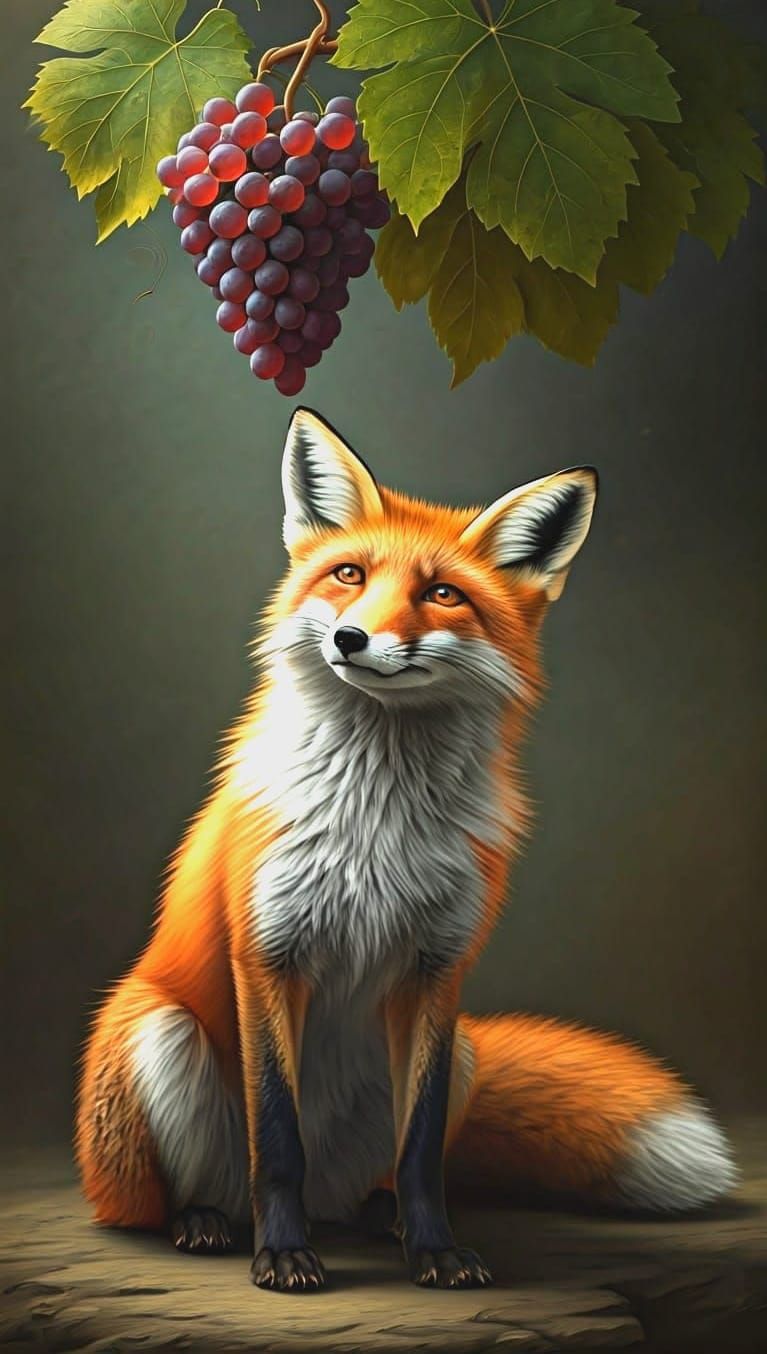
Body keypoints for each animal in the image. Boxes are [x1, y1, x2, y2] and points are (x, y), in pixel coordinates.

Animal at [76, 408, 736, 1292]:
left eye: (442, 594)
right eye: (349, 575)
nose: (352, 638)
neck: (376, 823)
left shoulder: (436, 971)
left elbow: (420, 1150)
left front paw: (434, 1251)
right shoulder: (268, 954)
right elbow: (275, 1139)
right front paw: (282, 1256)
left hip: (463, 1053)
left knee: (380, 1176)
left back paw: (375, 1219)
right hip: (161, 1033)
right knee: (178, 1198)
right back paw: (208, 1222)